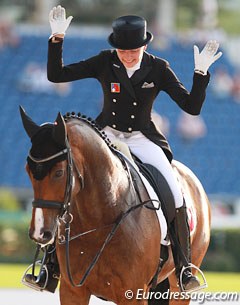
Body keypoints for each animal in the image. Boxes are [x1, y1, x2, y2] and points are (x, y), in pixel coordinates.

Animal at [19, 105, 210, 302]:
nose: (39, 233)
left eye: (59, 172)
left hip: (179, 289)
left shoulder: (133, 294)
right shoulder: (72, 291)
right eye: (28, 171)